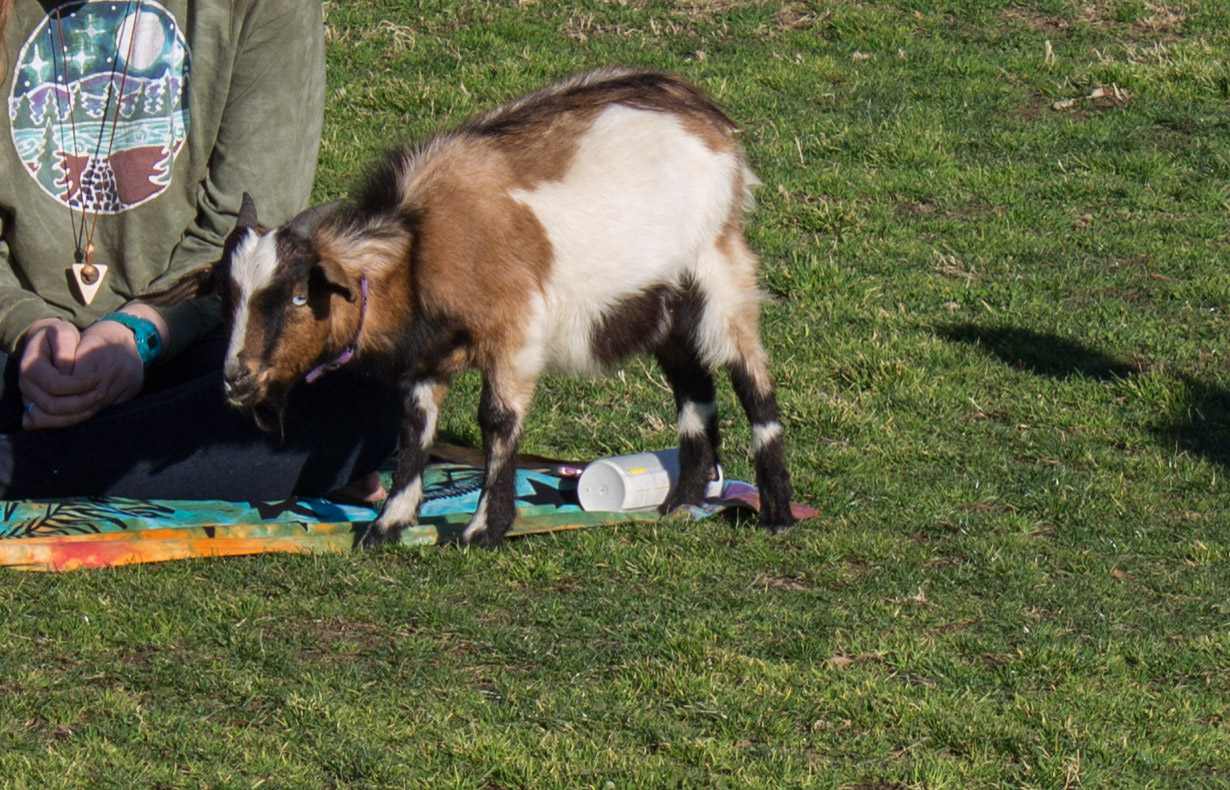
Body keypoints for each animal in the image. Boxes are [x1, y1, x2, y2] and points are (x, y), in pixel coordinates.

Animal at [151, 67, 796, 547]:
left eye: (298, 294)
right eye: (225, 297)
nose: (236, 378)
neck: (419, 247)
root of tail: (703, 112)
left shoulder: (515, 331)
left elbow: (498, 421)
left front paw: (484, 528)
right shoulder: (425, 359)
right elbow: (414, 429)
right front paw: (387, 526)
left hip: (718, 269)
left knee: (750, 379)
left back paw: (777, 512)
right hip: (660, 304)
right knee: (694, 389)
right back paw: (682, 503)